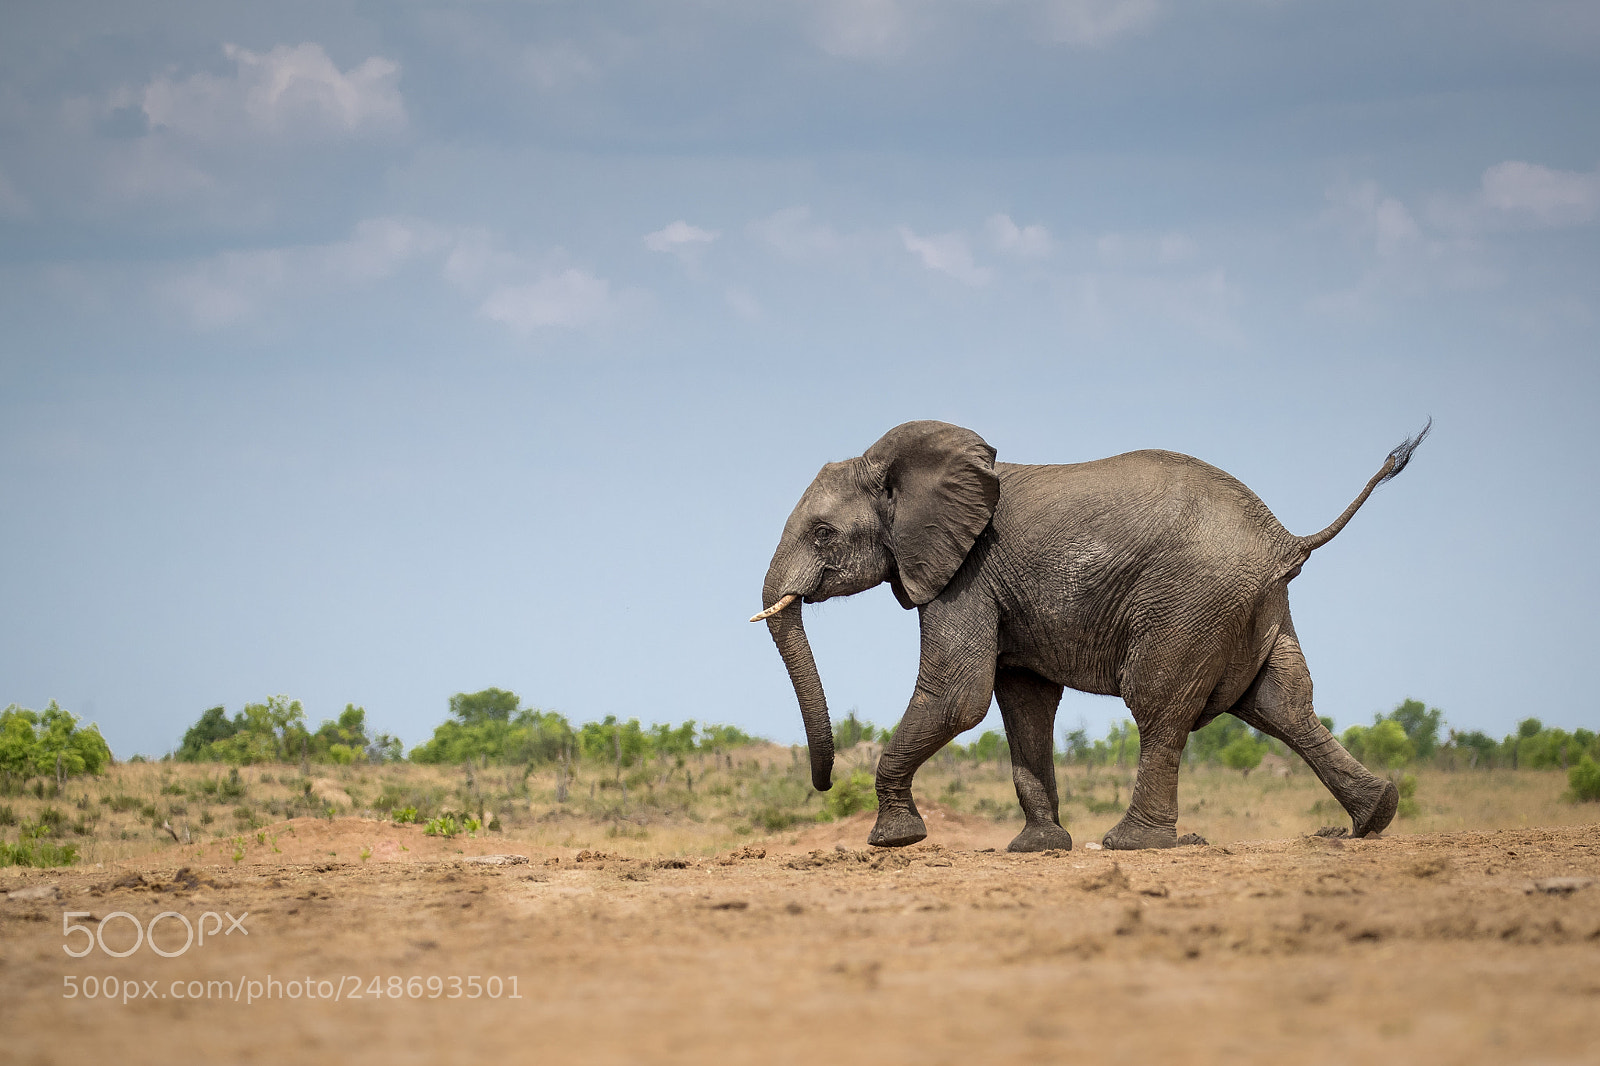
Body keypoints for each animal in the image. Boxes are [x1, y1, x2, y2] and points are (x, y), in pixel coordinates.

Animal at [752, 419, 1429, 852]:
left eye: (822, 534)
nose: (823, 782)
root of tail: (1285, 536)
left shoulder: (965, 572)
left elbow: (958, 697)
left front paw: (894, 841)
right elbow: (1023, 702)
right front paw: (1038, 848)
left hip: (1191, 602)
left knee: (1159, 705)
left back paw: (1133, 843)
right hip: (1256, 606)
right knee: (1281, 705)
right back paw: (1376, 816)